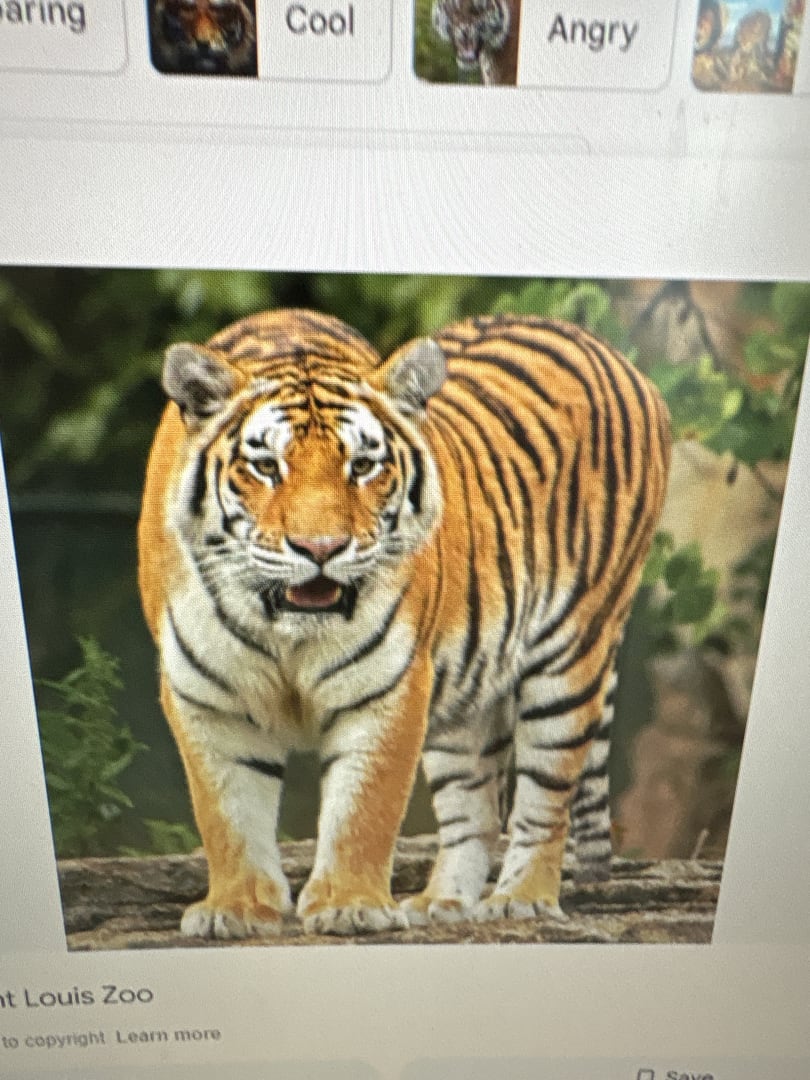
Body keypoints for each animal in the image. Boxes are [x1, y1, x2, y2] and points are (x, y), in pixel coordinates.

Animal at [138, 309, 670, 939]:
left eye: (363, 466)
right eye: (266, 467)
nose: (321, 548)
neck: (285, 626)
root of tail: (619, 358)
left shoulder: (388, 688)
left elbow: (364, 808)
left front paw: (349, 905)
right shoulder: (205, 697)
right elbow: (227, 814)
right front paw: (238, 908)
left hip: (570, 659)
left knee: (544, 798)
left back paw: (521, 899)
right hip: (466, 697)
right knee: (474, 810)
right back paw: (444, 902)